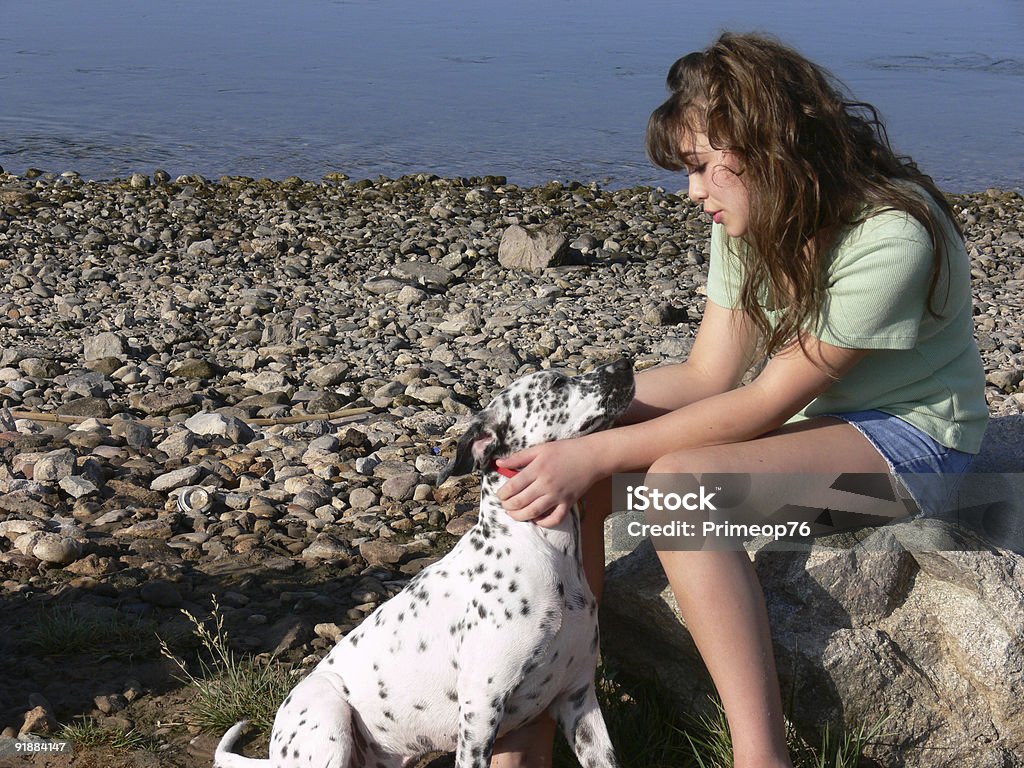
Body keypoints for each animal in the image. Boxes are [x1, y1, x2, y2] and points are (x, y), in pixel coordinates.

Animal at [215, 360, 630, 768]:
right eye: (557, 383)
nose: (624, 364)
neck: (545, 550)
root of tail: (274, 756)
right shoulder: (482, 709)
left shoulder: (579, 701)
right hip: (329, 714)